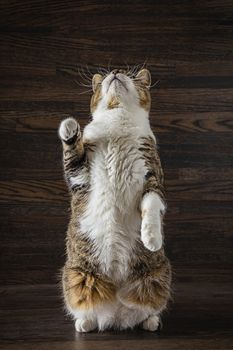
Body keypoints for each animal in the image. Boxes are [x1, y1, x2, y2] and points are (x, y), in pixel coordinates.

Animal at [58, 67, 171, 332]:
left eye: (131, 74)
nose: (117, 71)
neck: (117, 122)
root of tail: (116, 317)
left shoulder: (152, 177)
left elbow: (152, 204)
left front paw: (152, 237)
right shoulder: (80, 175)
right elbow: (72, 158)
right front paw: (69, 128)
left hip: (158, 277)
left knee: (147, 309)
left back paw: (151, 322)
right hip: (75, 275)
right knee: (85, 307)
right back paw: (84, 323)